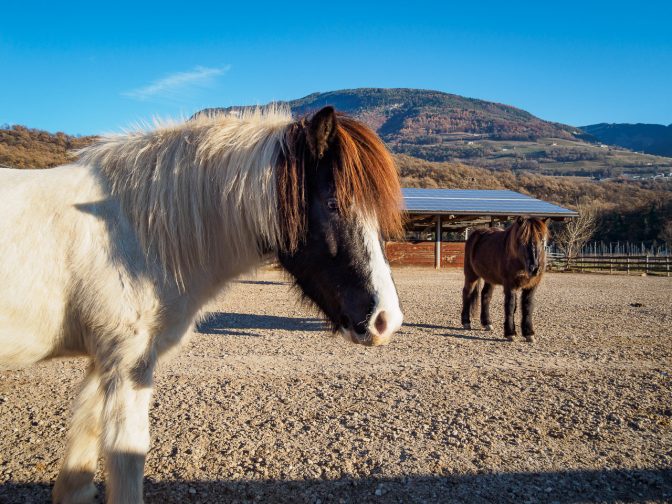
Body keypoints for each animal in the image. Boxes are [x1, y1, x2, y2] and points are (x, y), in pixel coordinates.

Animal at [0, 105, 404, 500]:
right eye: (334, 203)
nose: (386, 320)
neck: (136, 230)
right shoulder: (126, 362)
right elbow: (127, 455)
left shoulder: (103, 362)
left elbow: (80, 456)